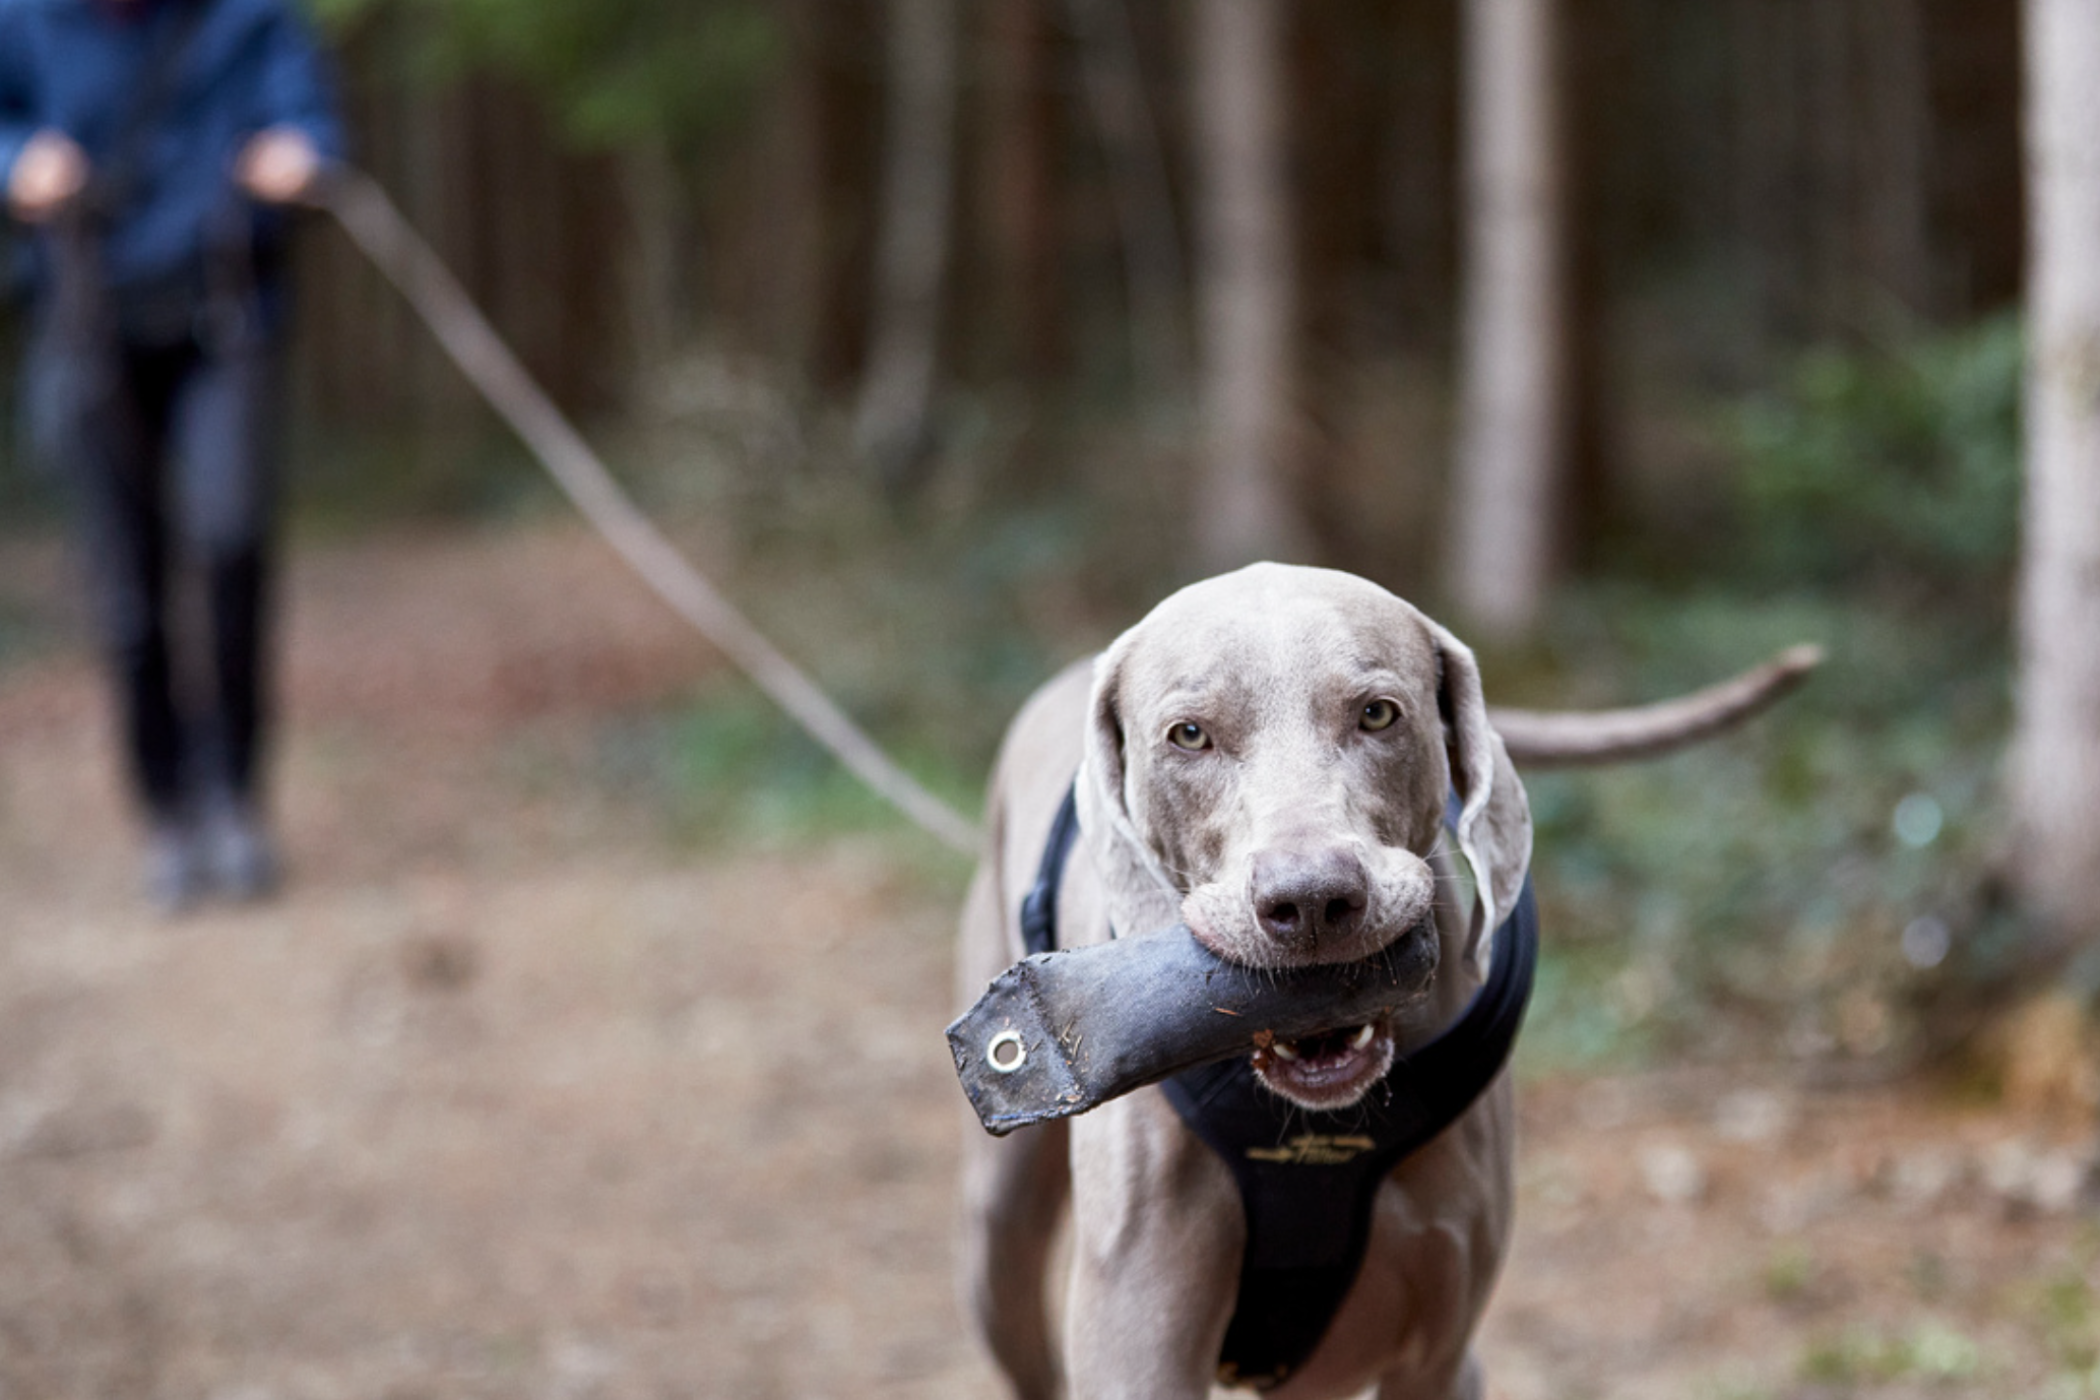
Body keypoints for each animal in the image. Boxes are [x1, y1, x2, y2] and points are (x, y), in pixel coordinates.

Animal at [961, 562, 1814, 1393]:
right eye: (1189, 735)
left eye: (1377, 715)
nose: (1311, 901)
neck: (1319, 1127)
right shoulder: (1139, 1350)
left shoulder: (1438, 1349)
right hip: (1000, 1244)